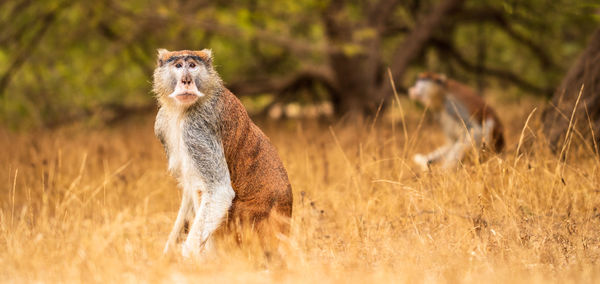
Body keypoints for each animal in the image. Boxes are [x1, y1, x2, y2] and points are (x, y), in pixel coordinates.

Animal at [155, 48, 292, 258]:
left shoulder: (196, 128)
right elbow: (188, 188)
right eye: (178, 65)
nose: (186, 80)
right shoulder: (162, 124)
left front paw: (186, 259)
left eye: (192, 65)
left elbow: (219, 191)